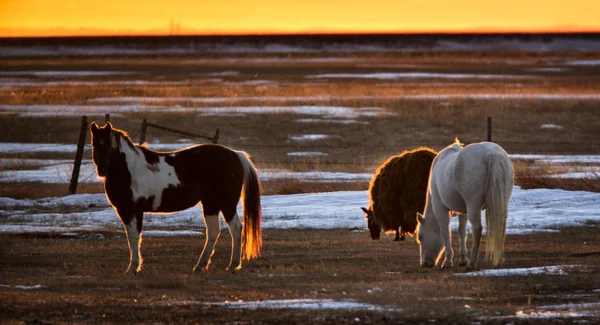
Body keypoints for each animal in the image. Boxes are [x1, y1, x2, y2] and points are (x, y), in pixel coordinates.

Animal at [88, 122, 260, 274]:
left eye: (108, 145)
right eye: (94, 144)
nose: (102, 170)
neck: (130, 169)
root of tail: (235, 155)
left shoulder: (131, 210)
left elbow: (134, 237)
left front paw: (133, 267)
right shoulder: (129, 211)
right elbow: (134, 237)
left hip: (227, 204)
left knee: (236, 228)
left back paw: (233, 265)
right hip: (210, 204)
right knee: (213, 231)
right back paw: (200, 265)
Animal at [418, 140, 510, 270]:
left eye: (420, 237)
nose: (424, 263)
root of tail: (491, 153)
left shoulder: (440, 208)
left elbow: (445, 232)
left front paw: (448, 260)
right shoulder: (463, 211)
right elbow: (462, 232)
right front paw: (462, 259)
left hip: (473, 207)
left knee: (477, 229)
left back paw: (471, 263)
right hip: (501, 203)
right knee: (501, 228)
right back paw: (499, 260)